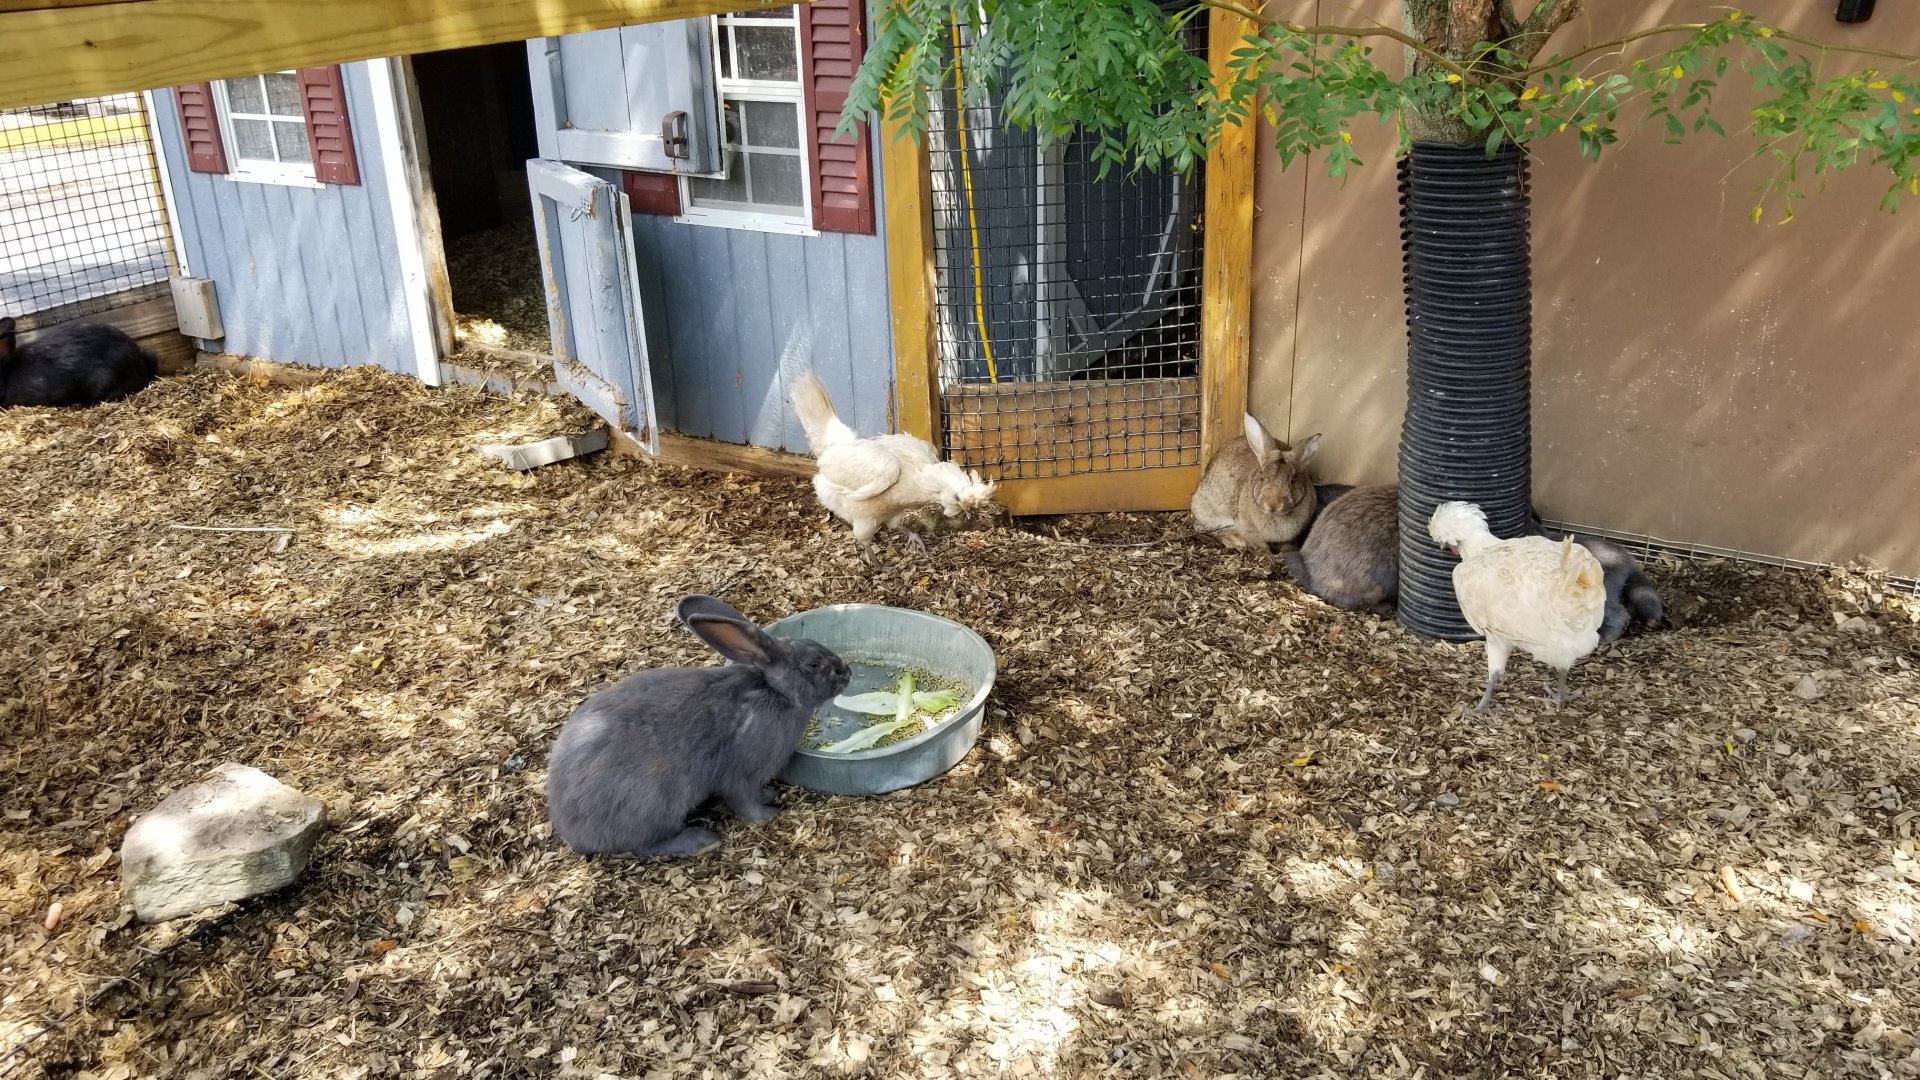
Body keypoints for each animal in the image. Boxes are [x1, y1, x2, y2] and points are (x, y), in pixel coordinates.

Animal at [545, 594, 851, 859]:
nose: (846, 672)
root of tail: (572, 833)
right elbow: (744, 801)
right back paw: (701, 841)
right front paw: (767, 816)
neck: (775, 690)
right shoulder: (742, 774)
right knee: (645, 845)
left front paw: (770, 795)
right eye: (814, 663)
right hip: (652, 807)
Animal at [1190, 413, 1322, 550]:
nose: (1273, 505)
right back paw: (1236, 541)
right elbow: (1260, 545)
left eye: (1293, 479)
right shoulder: (1249, 528)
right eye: (1262, 476)